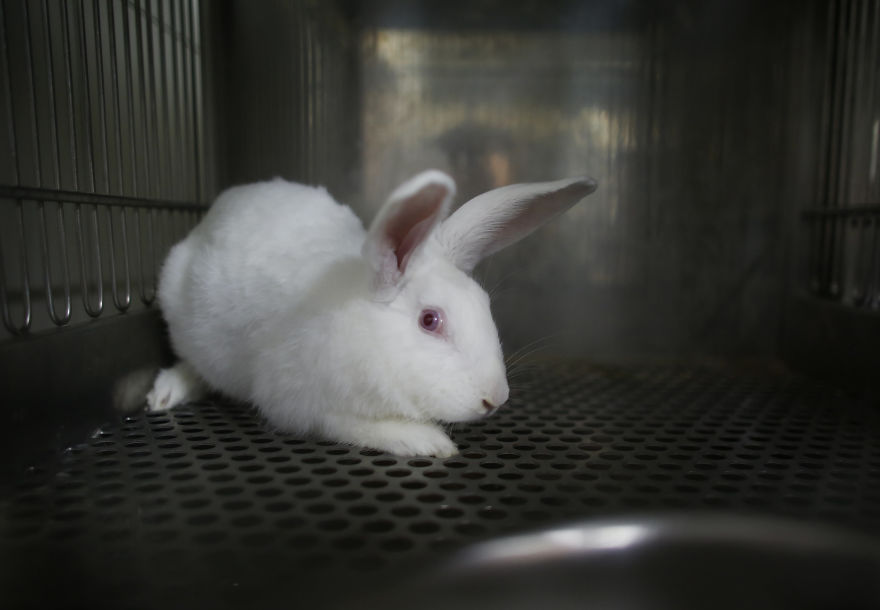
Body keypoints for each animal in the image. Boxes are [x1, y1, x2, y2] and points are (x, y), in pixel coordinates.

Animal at [146, 170, 597, 457]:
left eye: (484, 304)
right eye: (430, 320)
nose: (495, 399)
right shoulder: (297, 403)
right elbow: (352, 425)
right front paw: (426, 441)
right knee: (192, 364)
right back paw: (164, 394)